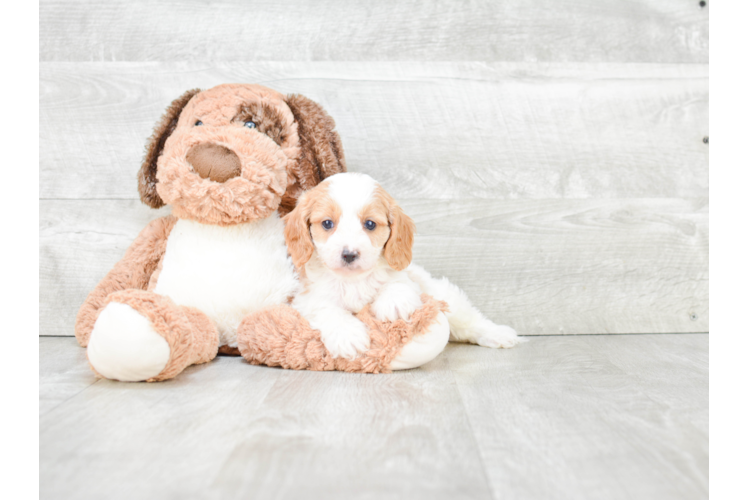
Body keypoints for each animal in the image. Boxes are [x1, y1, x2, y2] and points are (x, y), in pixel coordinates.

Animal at [284, 172, 524, 360]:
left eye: (370, 224)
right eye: (327, 224)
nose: (349, 254)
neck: (353, 280)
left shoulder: (409, 279)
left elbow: (398, 283)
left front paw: (393, 303)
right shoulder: (307, 298)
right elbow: (328, 310)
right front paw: (347, 335)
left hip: (444, 295)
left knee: (470, 320)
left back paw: (499, 334)